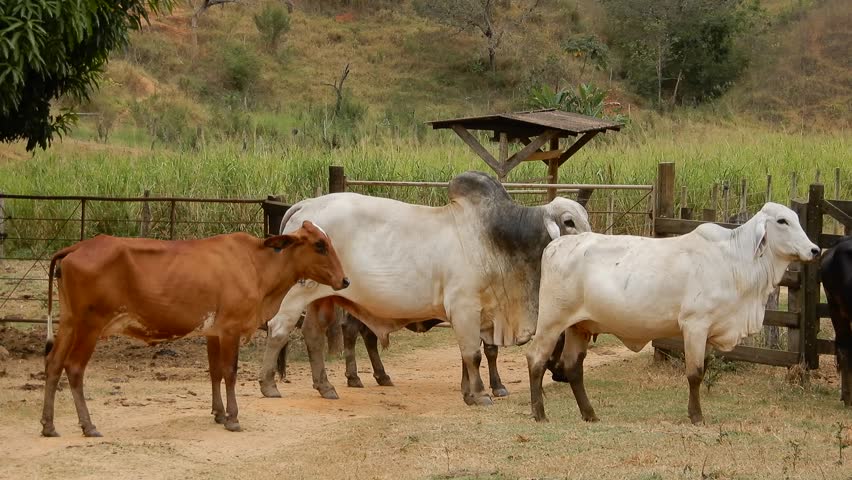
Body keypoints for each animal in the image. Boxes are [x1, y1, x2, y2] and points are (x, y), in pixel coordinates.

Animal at [40, 222, 348, 437]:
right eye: (319, 245)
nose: (344, 280)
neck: (256, 264)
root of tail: (78, 247)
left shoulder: (213, 332)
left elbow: (215, 372)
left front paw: (219, 414)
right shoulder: (230, 330)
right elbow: (230, 373)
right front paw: (233, 418)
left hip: (68, 323)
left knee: (53, 364)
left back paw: (48, 425)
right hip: (89, 326)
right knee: (74, 368)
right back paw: (88, 425)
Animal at [258, 171, 590, 406]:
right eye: (569, 222)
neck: (498, 240)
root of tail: (306, 205)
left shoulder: (480, 313)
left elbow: (470, 354)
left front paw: (469, 392)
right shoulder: (464, 307)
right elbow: (473, 354)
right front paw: (481, 395)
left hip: (324, 298)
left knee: (313, 334)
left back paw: (325, 386)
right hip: (297, 294)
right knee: (279, 328)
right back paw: (269, 385)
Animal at [526, 202, 820, 424]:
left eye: (796, 219)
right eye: (782, 221)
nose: (815, 250)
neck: (733, 261)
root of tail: (555, 246)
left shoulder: (709, 331)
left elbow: (703, 369)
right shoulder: (695, 325)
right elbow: (695, 373)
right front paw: (697, 416)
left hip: (580, 326)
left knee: (573, 367)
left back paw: (590, 414)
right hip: (552, 322)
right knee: (536, 358)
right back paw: (539, 413)